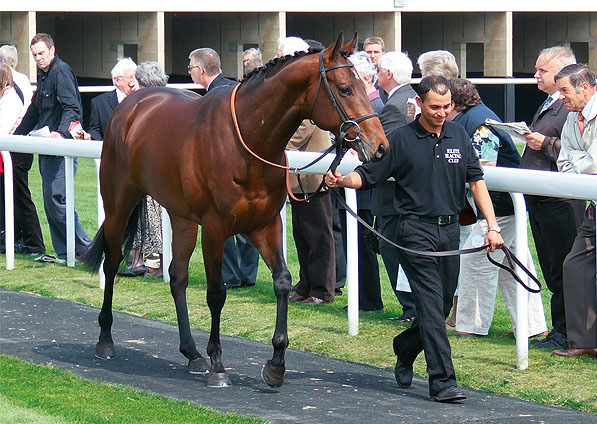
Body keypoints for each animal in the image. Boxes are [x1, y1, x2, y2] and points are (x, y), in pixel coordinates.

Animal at [84, 33, 388, 388]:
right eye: (345, 89)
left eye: (364, 83)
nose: (380, 146)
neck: (248, 142)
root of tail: (131, 106)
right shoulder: (216, 229)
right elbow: (217, 293)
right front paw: (218, 365)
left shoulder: (265, 225)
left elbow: (282, 281)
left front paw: (276, 364)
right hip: (120, 203)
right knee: (111, 262)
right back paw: (106, 339)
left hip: (182, 216)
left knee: (177, 276)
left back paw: (191, 352)